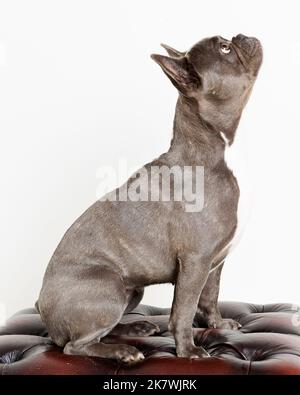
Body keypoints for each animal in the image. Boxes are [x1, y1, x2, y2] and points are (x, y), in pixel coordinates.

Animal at [37, 34, 262, 366]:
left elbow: (211, 296)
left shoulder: (214, 263)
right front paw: (188, 351)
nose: (241, 36)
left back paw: (136, 329)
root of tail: (39, 305)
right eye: (225, 48)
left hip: (133, 291)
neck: (212, 147)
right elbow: (183, 311)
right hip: (110, 287)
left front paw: (217, 324)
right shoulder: (195, 261)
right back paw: (123, 352)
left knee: (104, 330)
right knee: (75, 345)